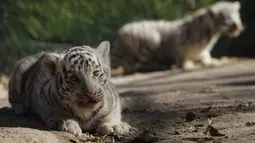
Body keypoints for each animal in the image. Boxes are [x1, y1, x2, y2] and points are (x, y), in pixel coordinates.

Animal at [111, 0, 243, 75]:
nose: (236, 25)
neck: (211, 34)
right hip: (151, 40)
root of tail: (120, 31)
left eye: (236, 15)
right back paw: (160, 66)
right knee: (142, 60)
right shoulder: (179, 44)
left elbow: (205, 56)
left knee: (128, 61)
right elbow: (181, 57)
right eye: (224, 17)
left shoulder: (203, 50)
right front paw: (186, 65)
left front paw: (210, 62)